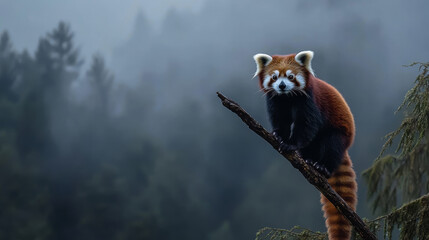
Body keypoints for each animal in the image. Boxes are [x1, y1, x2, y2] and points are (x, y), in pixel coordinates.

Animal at [252, 51, 356, 240]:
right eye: (274, 77)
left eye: (290, 76)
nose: (282, 85)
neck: (287, 97)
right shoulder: (276, 101)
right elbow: (281, 120)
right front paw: (279, 135)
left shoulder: (309, 101)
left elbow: (307, 124)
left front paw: (290, 144)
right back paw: (307, 161)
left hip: (340, 132)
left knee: (331, 145)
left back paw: (322, 167)